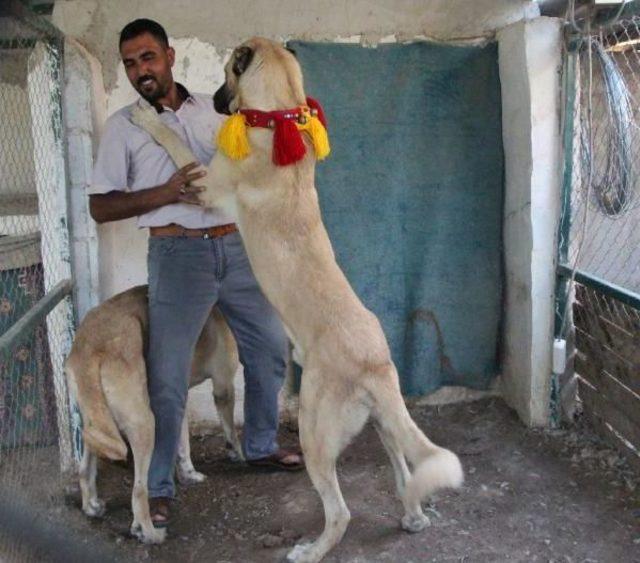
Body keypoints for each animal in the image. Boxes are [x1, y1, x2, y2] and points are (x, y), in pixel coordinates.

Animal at [64, 288, 240, 544]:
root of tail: (89, 344)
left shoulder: (177, 399)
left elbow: (183, 444)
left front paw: (189, 474)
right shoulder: (223, 386)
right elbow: (232, 433)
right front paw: (240, 455)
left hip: (95, 422)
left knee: (85, 468)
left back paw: (91, 506)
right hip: (144, 424)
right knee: (139, 491)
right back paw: (147, 532)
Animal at [130, 37, 462, 560]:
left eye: (227, 73)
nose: (215, 102)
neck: (280, 116)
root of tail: (374, 362)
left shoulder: (203, 184)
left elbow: (176, 142)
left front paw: (151, 118)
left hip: (313, 431)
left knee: (341, 512)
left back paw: (311, 549)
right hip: (384, 424)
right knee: (404, 472)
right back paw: (412, 516)